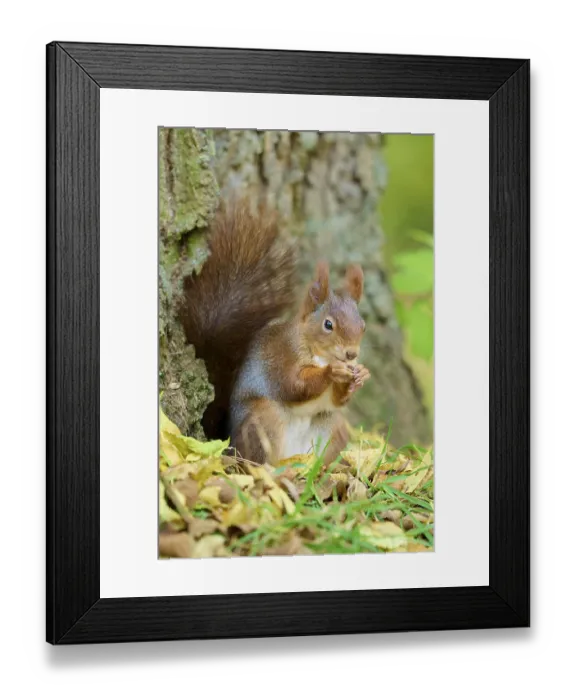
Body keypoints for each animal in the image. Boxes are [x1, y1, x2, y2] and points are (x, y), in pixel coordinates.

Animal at [180, 198, 370, 466]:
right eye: (328, 324)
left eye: (362, 325)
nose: (351, 354)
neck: (318, 352)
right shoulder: (280, 355)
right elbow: (294, 385)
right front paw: (332, 372)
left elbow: (337, 400)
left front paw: (361, 374)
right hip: (265, 419)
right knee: (256, 460)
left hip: (332, 427)